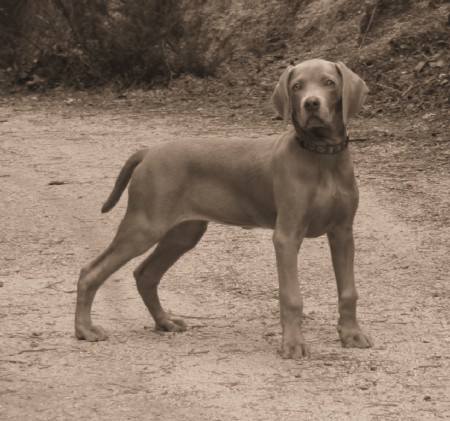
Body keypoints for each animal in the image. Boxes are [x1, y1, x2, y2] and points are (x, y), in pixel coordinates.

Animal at [74, 58, 372, 358]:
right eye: (297, 86)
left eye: (329, 83)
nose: (311, 103)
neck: (322, 155)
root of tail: (149, 151)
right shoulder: (287, 235)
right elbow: (292, 297)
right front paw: (293, 344)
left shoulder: (343, 233)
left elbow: (349, 291)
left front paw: (352, 334)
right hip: (144, 226)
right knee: (91, 270)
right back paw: (85, 330)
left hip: (183, 233)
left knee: (145, 274)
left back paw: (164, 321)